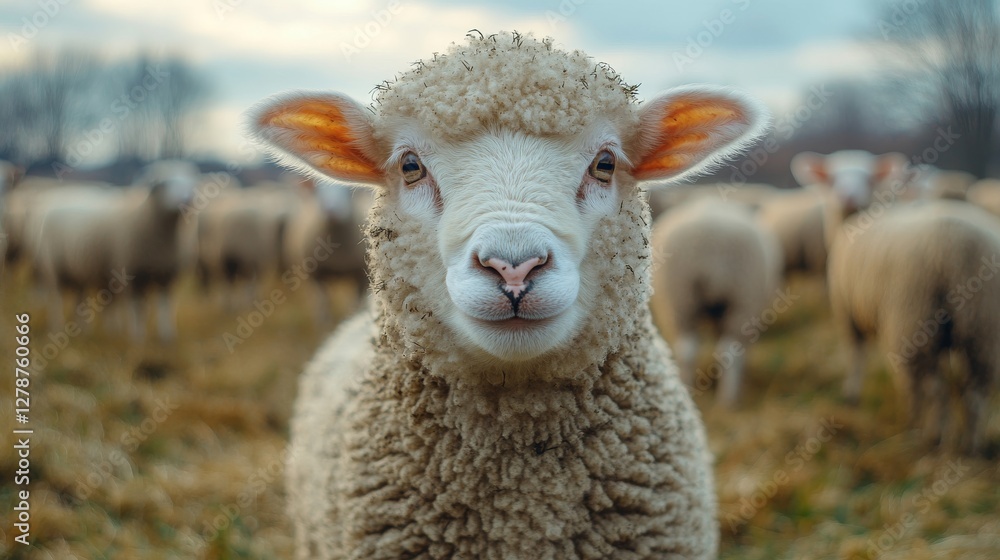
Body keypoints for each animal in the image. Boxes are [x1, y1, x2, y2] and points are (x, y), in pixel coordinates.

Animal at [26, 160, 199, 341]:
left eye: (190, 181)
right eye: (164, 183)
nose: (187, 200)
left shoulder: (166, 275)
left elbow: (165, 307)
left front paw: (167, 336)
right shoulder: (130, 274)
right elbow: (137, 308)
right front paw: (138, 337)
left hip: (77, 269)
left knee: (78, 298)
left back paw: (81, 330)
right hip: (51, 268)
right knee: (55, 300)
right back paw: (57, 326)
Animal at [649, 198, 782, 407]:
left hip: (680, 298)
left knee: (687, 349)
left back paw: (689, 390)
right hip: (742, 297)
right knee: (729, 349)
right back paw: (728, 400)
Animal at [798, 150, 1000, 454]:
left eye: (869, 177)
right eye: (832, 178)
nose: (847, 196)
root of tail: (960, 248)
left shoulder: (847, 312)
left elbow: (856, 355)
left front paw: (852, 395)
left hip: (914, 316)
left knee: (928, 387)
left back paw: (924, 432)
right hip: (983, 327)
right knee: (976, 392)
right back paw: (970, 446)